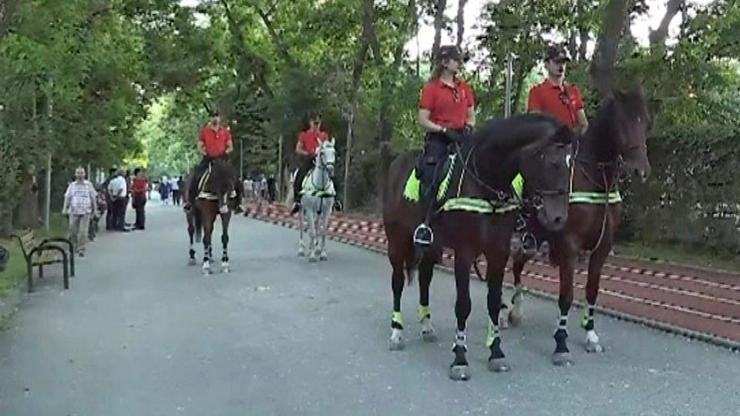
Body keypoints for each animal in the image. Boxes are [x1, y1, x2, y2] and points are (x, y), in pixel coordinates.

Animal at [384, 114, 576, 380]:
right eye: (552, 162)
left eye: (570, 164)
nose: (558, 218)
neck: (485, 184)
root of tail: (396, 164)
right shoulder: (465, 253)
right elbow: (463, 306)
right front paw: (460, 358)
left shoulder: (498, 253)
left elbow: (494, 302)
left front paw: (496, 352)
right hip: (396, 241)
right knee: (397, 283)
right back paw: (396, 332)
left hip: (431, 247)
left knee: (424, 280)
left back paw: (427, 327)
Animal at [506, 86, 652, 366]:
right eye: (621, 123)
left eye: (646, 122)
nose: (639, 169)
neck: (595, 182)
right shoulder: (569, 246)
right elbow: (566, 296)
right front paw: (561, 343)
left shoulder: (602, 247)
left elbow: (592, 291)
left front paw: (591, 335)